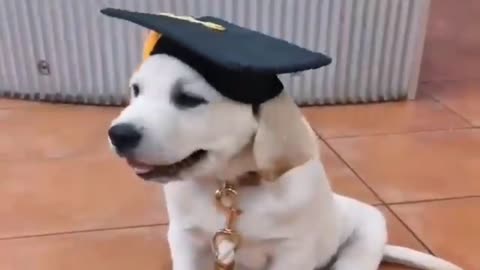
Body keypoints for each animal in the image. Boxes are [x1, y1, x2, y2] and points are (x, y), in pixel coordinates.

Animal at [108, 53, 462, 270]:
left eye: (189, 99)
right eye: (135, 90)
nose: (117, 134)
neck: (231, 187)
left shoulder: (292, 252)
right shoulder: (185, 241)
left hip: (361, 246)